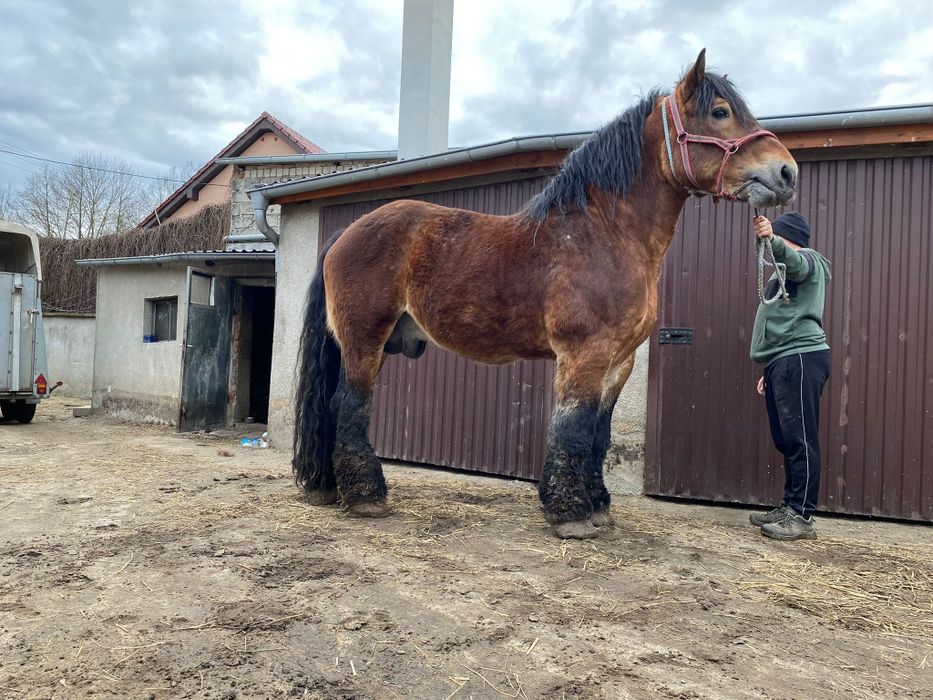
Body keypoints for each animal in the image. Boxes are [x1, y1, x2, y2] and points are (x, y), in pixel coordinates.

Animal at [294, 52, 792, 540]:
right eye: (720, 112)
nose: (786, 171)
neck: (604, 234)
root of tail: (344, 234)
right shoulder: (584, 355)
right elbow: (573, 429)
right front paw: (570, 514)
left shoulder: (619, 362)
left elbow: (598, 434)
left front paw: (597, 507)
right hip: (365, 341)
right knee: (350, 408)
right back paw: (366, 497)